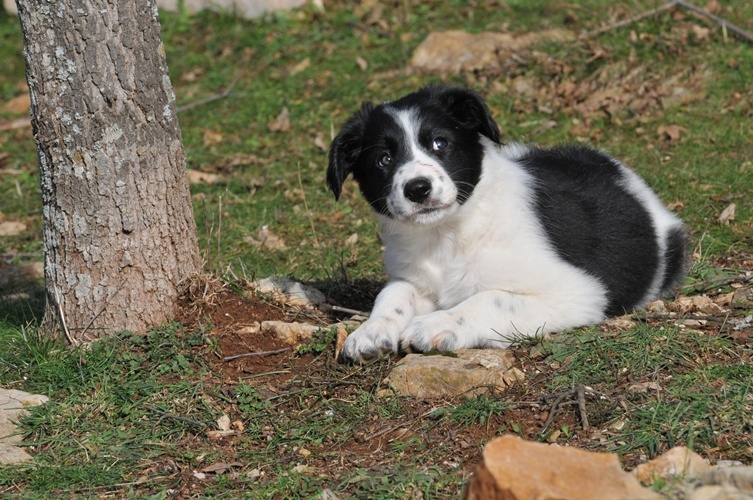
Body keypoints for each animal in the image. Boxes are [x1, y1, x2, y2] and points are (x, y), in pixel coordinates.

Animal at [326, 84, 692, 362]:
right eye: (384, 160)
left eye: (440, 143)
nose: (417, 188)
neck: (450, 234)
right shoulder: (415, 276)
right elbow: (393, 292)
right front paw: (371, 330)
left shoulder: (579, 291)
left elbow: (491, 298)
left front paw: (437, 324)